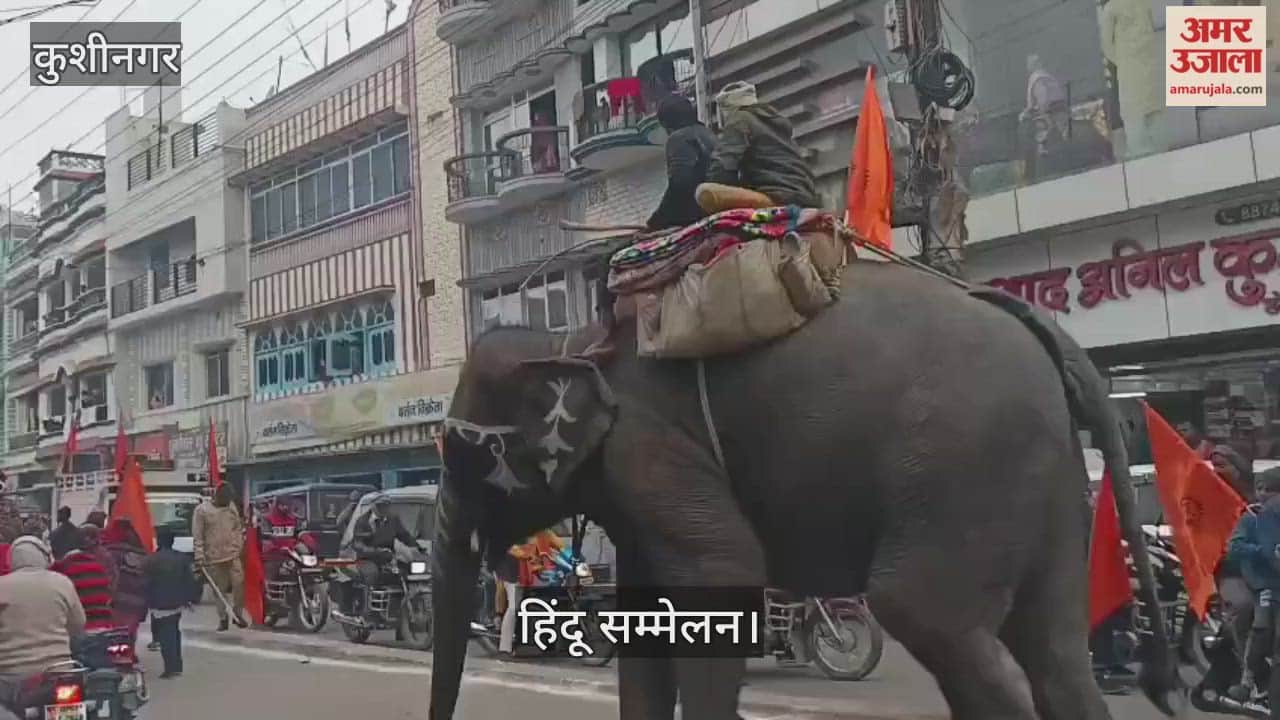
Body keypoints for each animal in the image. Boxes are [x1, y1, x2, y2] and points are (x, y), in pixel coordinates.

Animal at [428, 259, 1180, 720]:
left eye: (459, 452)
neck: (569, 341)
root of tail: (1043, 331)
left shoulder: (654, 449)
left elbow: (722, 577)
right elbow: (646, 621)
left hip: (965, 470)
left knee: (925, 614)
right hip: (1042, 484)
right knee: (1054, 650)